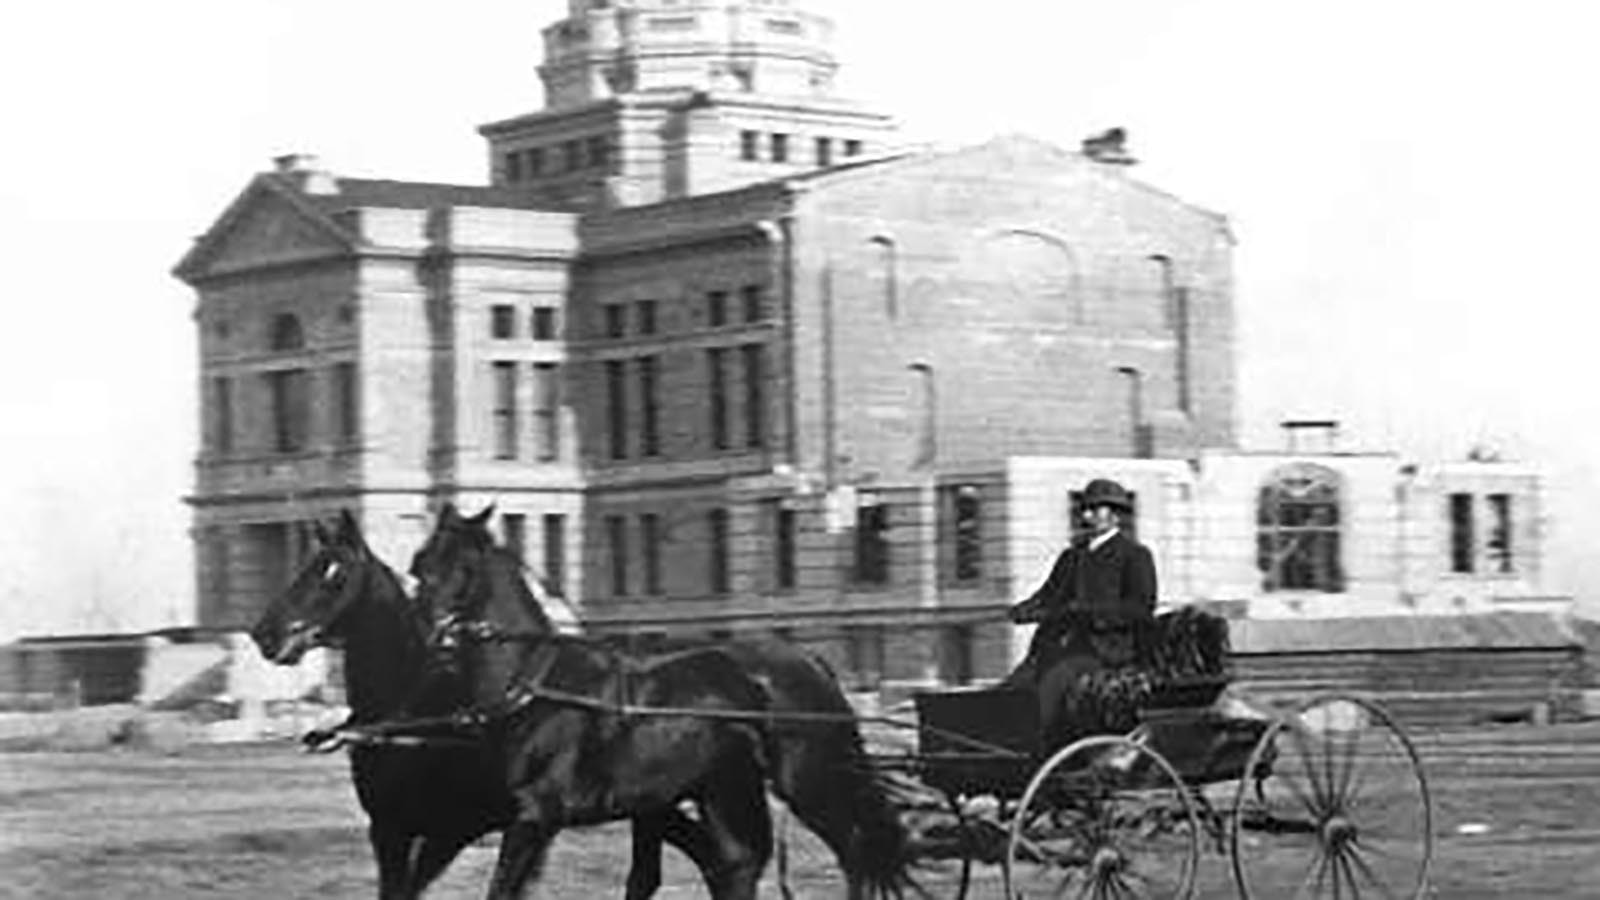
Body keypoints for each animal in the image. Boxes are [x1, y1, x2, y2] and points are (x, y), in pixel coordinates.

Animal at [249, 512, 768, 896]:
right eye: (304, 568)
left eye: (334, 576)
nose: (265, 634)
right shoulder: (391, 828)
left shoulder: (465, 828)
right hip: (657, 803)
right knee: (708, 864)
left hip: (713, 794)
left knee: (731, 861)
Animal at [406, 506, 921, 896]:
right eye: (420, 564)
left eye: (464, 568)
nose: (428, 634)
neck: (535, 685)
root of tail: (810, 660)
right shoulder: (619, 808)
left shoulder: (535, 814)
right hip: (725, 787)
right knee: (741, 860)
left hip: (807, 779)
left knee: (851, 847)